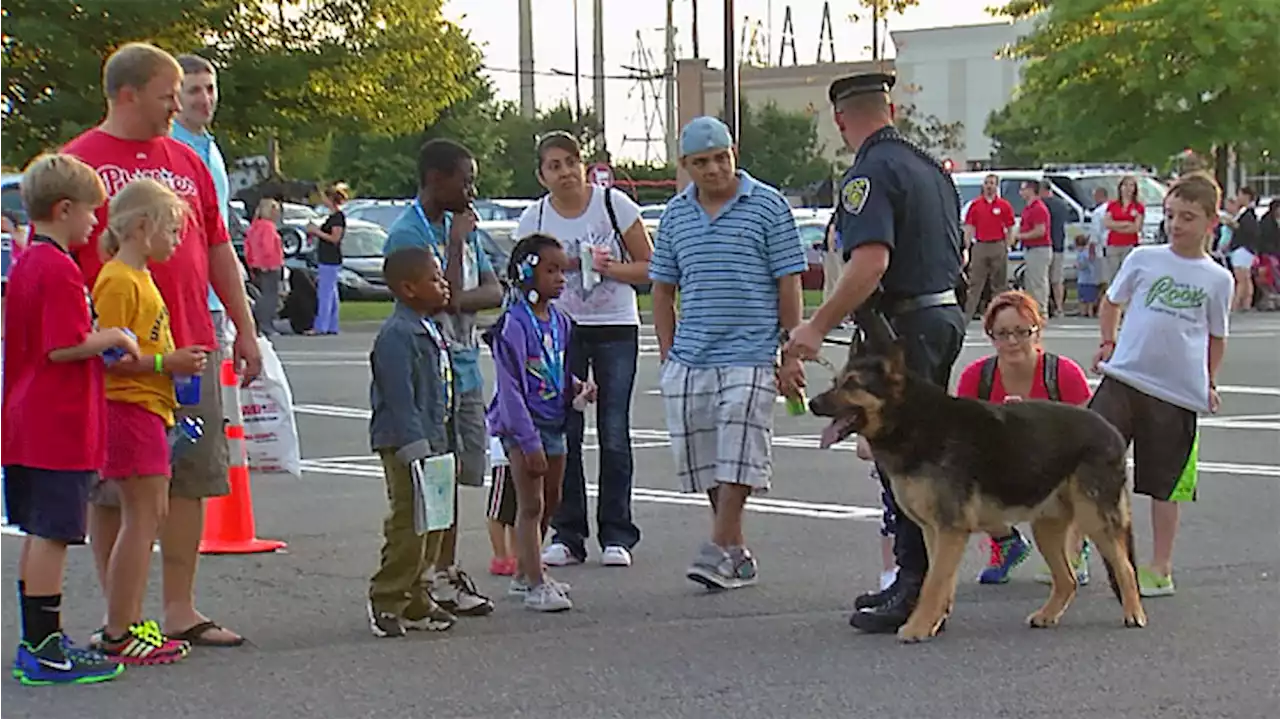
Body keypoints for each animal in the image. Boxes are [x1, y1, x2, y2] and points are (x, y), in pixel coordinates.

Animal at [808, 345, 1152, 639]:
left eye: (852, 384)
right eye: (836, 382)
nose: (811, 404)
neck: (911, 419)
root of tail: (1110, 429)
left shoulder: (950, 530)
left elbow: (932, 583)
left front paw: (916, 628)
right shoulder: (934, 532)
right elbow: (939, 582)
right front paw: (934, 623)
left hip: (1096, 520)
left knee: (1124, 567)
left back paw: (1134, 614)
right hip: (1046, 529)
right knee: (1066, 580)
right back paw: (1047, 615)